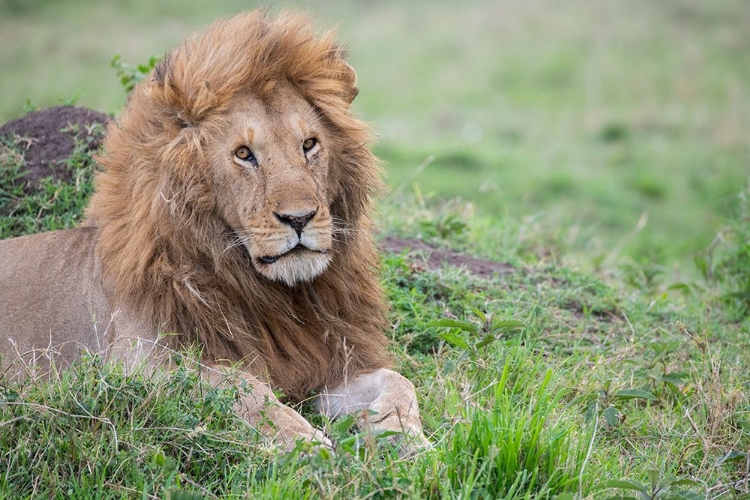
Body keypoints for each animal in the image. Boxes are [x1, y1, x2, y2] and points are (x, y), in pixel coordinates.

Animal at [1, 9, 428, 452]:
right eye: (244, 154)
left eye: (309, 144)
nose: (300, 218)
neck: (274, 296)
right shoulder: (135, 368)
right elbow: (243, 388)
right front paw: (309, 447)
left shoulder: (328, 361)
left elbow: (399, 382)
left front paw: (406, 441)